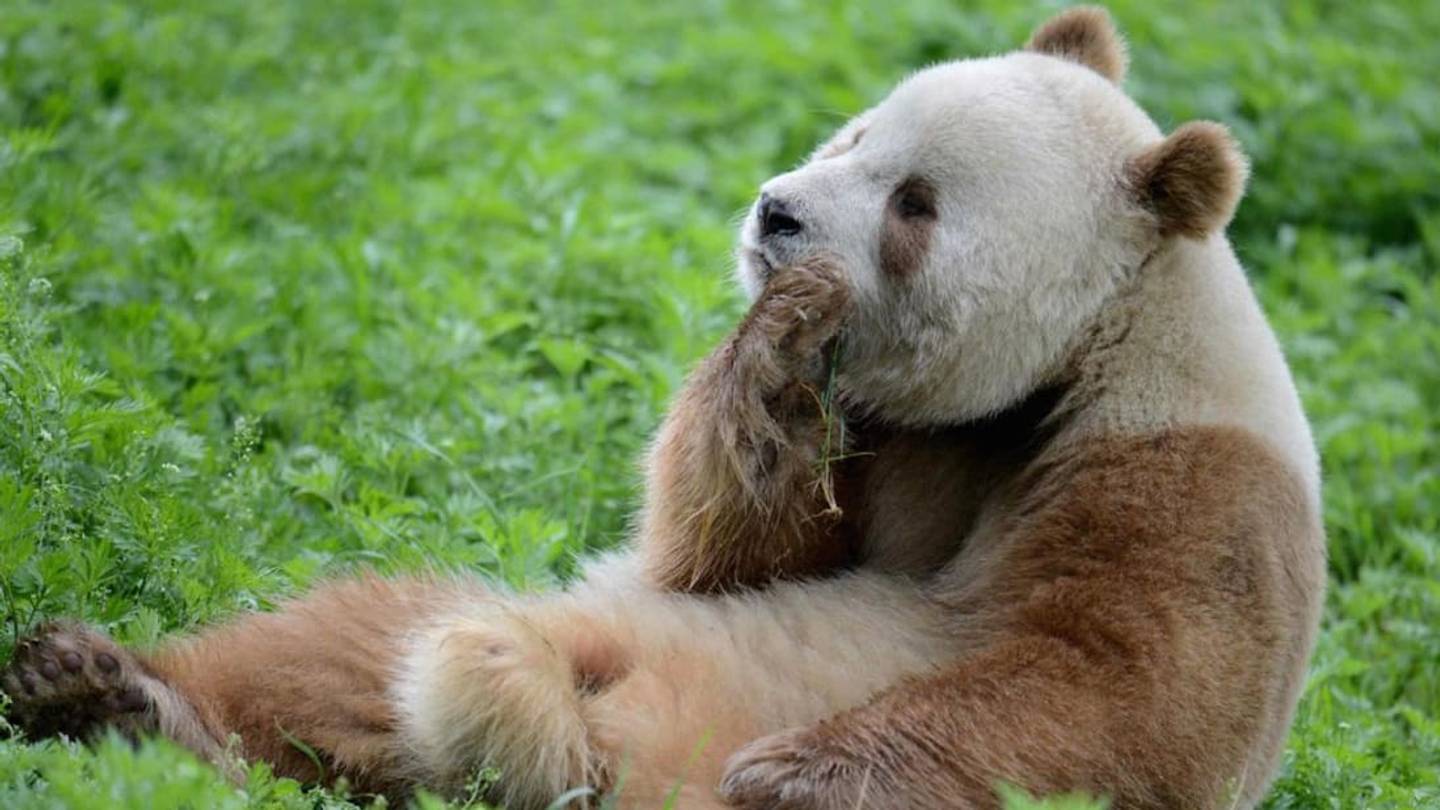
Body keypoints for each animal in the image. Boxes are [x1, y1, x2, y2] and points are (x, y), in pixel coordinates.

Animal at [3, 8, 1324, 810]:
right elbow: (724, 555)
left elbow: (1117, 697)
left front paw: (796, 774)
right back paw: (113, 698)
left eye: (916, 203)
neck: (1064, 363)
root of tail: (581, 760)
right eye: (855, 130)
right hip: (575, 626)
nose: (779, 215)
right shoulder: (895, 438)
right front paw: (779, 341)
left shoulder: (1189, 483)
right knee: (348, 643)